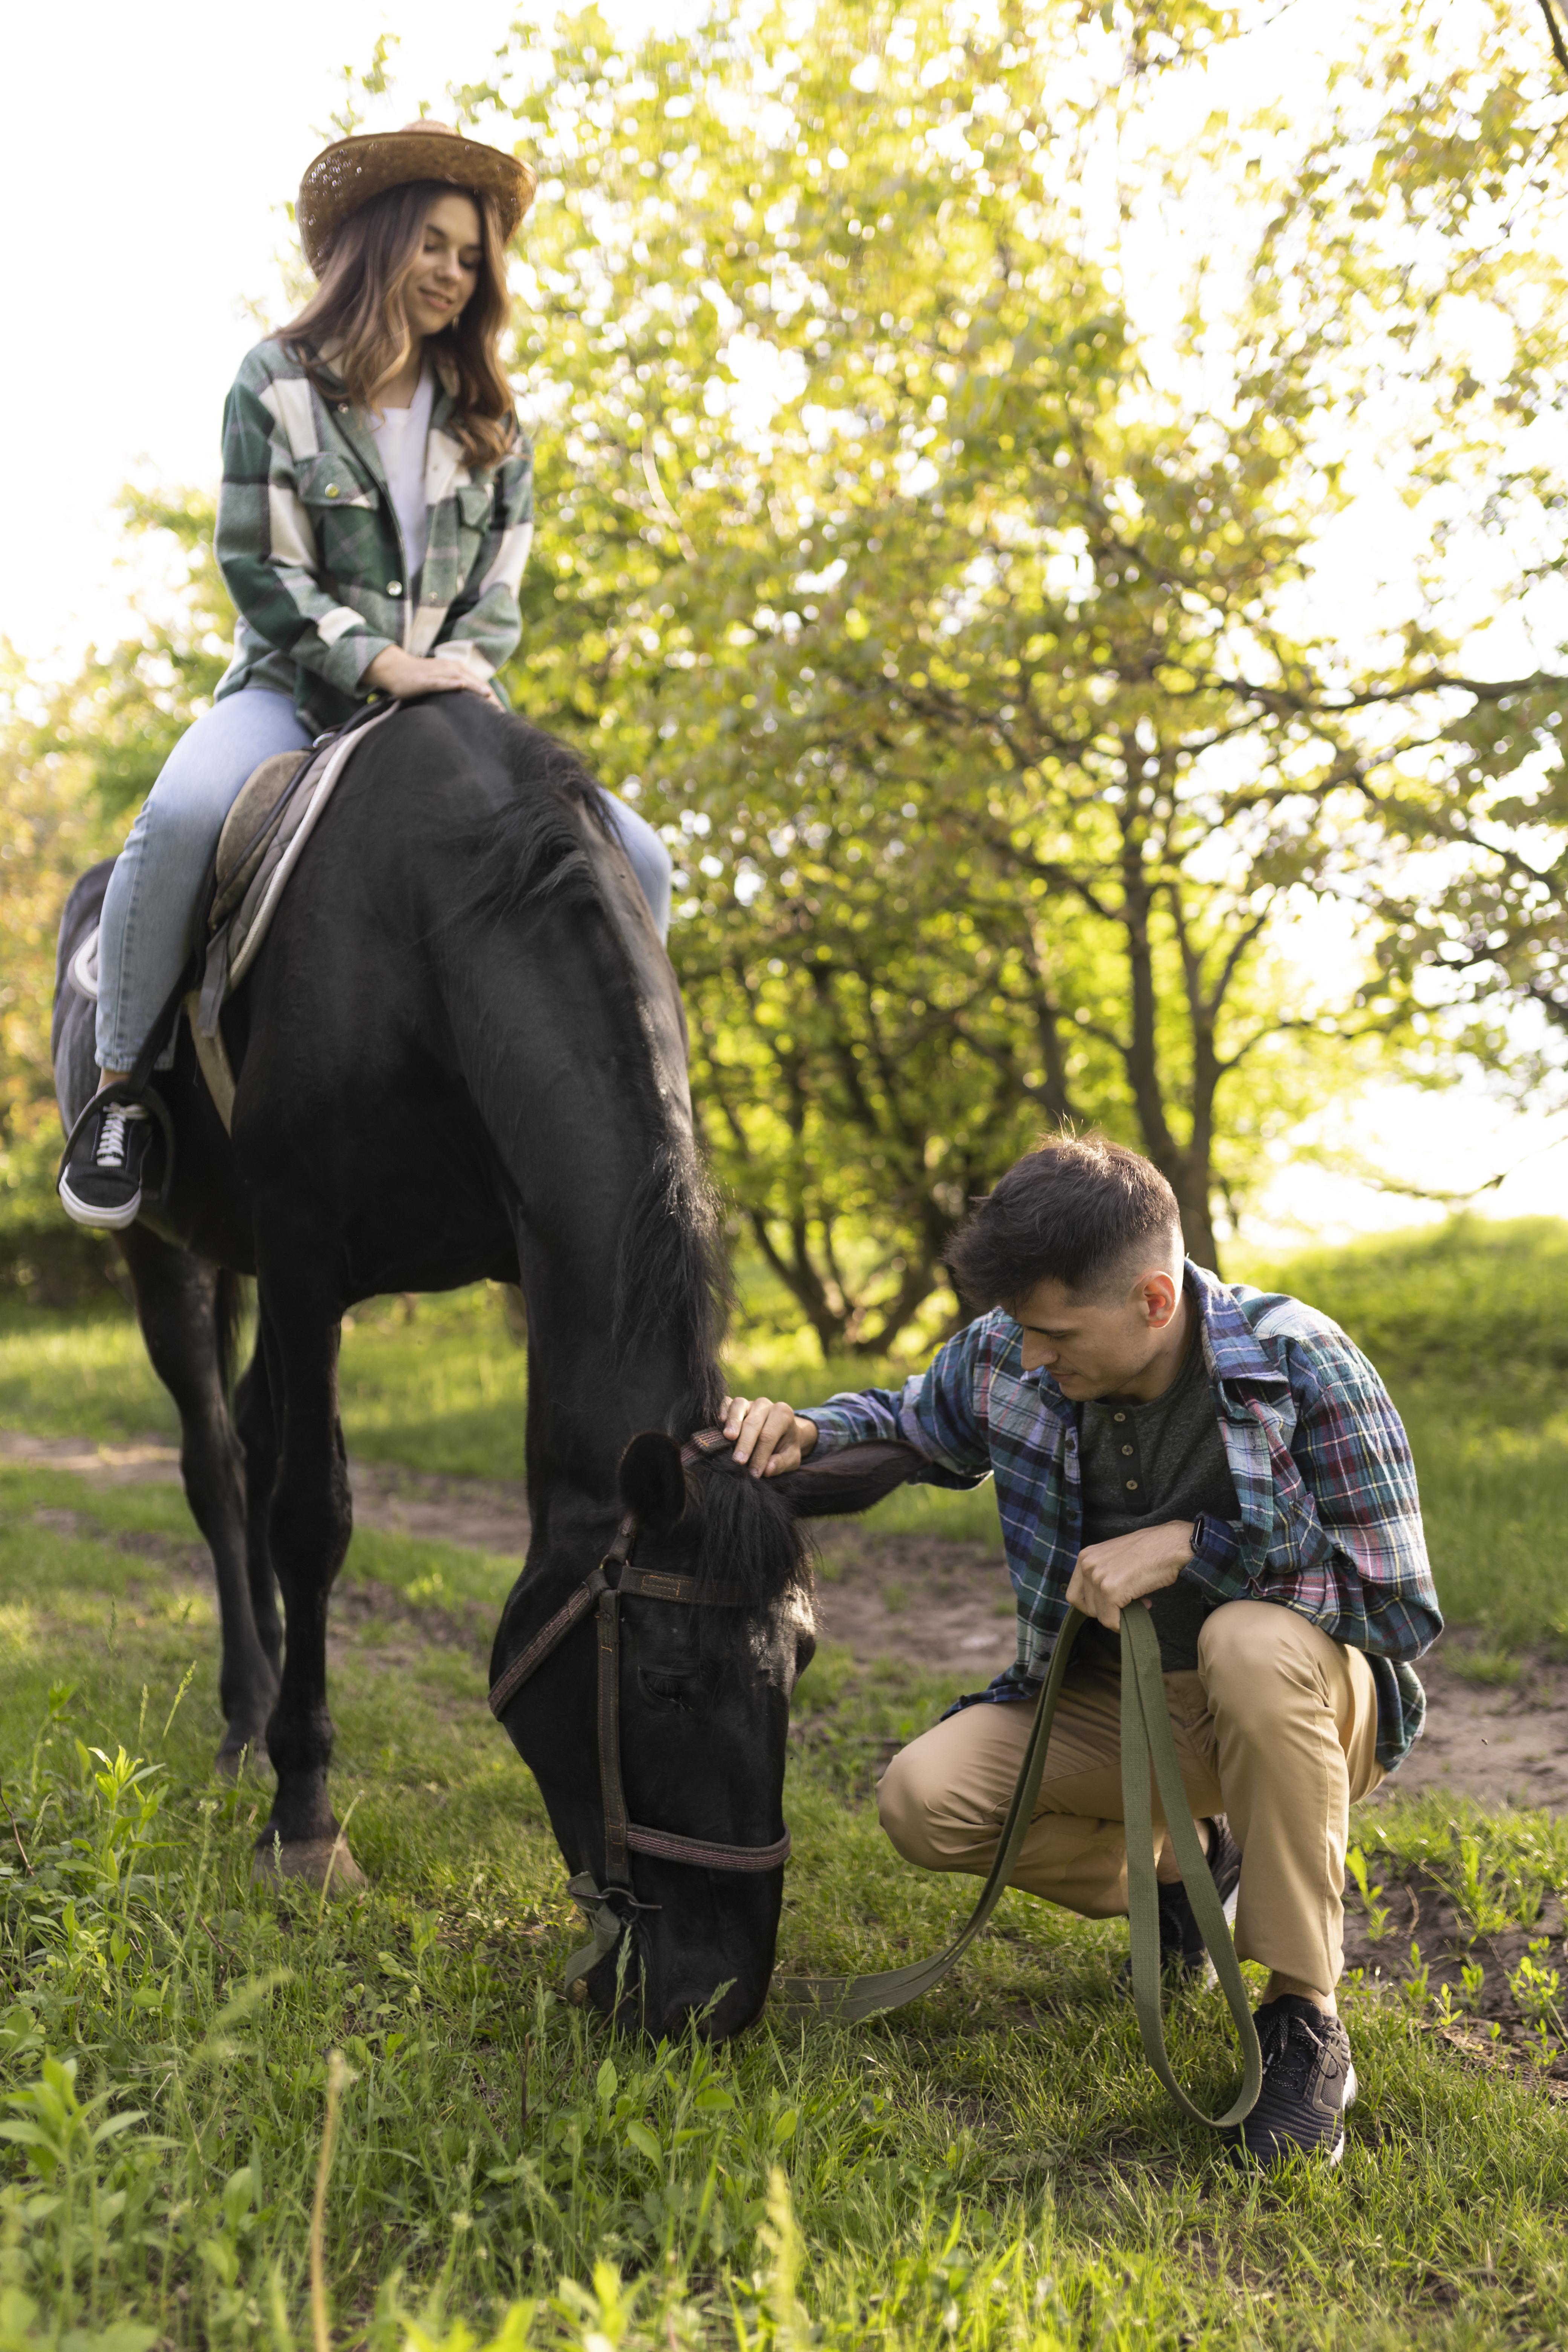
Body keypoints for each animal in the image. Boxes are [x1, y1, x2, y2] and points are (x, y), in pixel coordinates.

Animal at [55, 696, 907, 2041]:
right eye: (666, 1681)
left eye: (805, 1663)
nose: (719, 1999)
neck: (434, 928)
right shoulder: (305, 1257)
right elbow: (314, 1516)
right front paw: (303, 1822)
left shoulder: (511, 1251)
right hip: (171, 1254)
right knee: (216, 1467)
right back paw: (249, 1718)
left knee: (248, 1443)